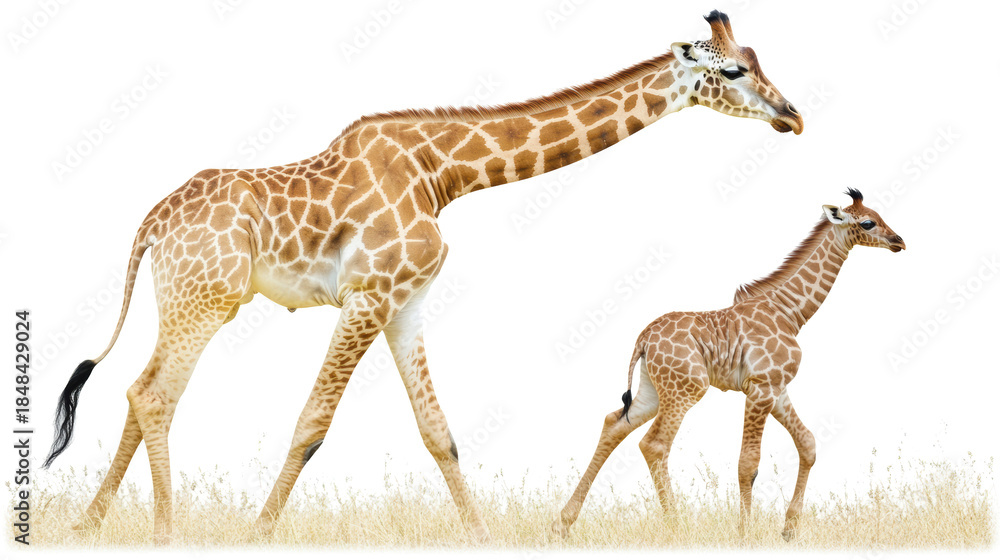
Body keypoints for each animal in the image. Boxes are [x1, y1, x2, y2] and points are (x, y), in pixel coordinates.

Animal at [42, 10, 803, 545]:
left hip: (185, 296)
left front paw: (484, 536)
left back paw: (88, 525)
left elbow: (439, 431)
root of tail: (151, 222)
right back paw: (163, 532)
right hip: (210, 298)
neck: (445, 174)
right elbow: (313, 423)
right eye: (733, 73)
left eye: (757, 61)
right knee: (155, 394)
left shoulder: (405, 302)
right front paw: (258, 533)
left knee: (139, 390)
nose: (793, 116)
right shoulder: (369, 294)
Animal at [552, 189, 906, 541]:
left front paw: (789, 528)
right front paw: (745, 533)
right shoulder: (761, 388)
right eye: (868, 222)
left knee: (614, 423)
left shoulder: (776, 388)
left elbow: (807, 443)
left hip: (654, 389)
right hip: (686, 389)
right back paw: (677, 528)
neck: (790, 311)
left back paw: (563, 522)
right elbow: (748, 463)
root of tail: (643, 339)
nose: (899, 241)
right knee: (654, 444)